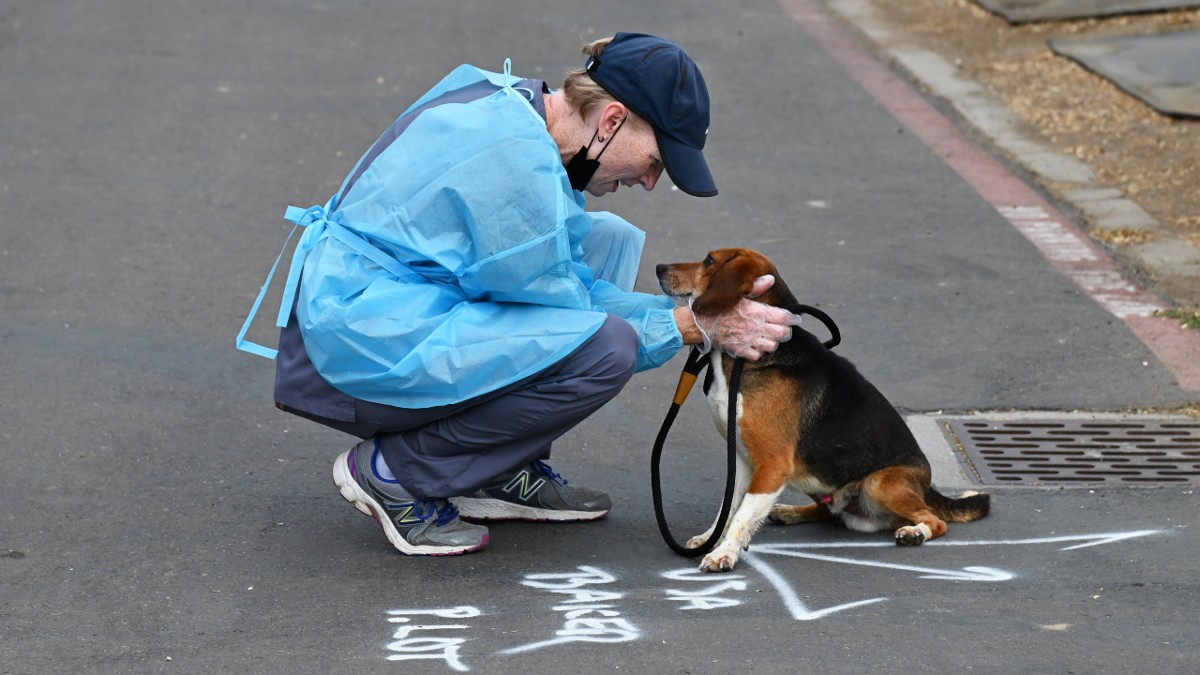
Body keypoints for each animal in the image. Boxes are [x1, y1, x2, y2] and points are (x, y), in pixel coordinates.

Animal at [657, 249, 984, 569]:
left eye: (709, 260)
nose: (659, 267)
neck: (741, 361)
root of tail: (927, 486)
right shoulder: (742, 459)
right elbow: (729, 508)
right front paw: (710, 538)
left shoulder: (773, 465)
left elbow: (742, 514)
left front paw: (724, 552)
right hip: (815, 474)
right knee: (829, 512)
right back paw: (789, 512)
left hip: (882, 483)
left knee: (935, 520)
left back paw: (915, 533)